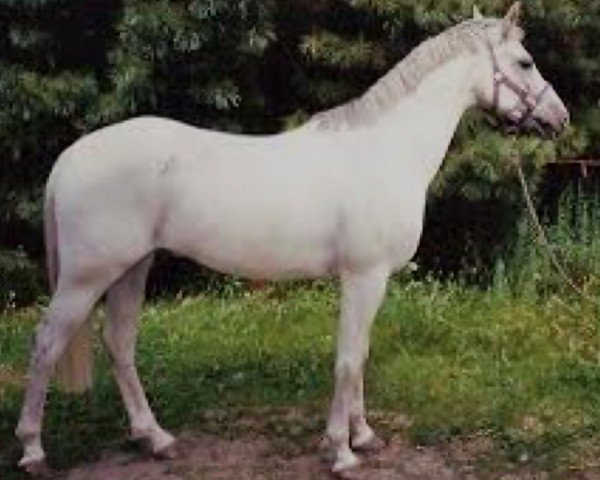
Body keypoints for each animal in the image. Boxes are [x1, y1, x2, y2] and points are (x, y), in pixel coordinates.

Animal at [15, 2, 568, 476]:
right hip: (87, 277)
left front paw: (363, 436)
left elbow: (360, 356)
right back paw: (33, 450)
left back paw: (156, 439)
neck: (385, 151)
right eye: (524, 62)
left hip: (133, 268)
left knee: (119, 343)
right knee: (45, 345)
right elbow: (348, 360)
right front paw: (341, 451)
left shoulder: (369, 282)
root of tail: (70, 157)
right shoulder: (363, 277)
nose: (559, 119)